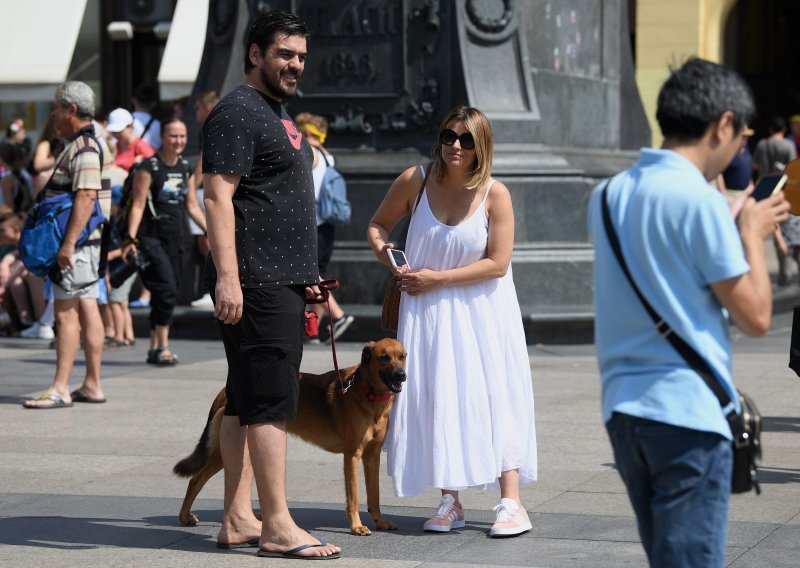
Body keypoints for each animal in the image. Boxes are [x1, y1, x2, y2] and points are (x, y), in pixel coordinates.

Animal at [170, 340, 406, 536]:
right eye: (384, 357)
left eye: (402, 356)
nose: (402, 375)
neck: (369, 394)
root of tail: (227, 390)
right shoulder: (352, 456)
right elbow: (354, 497)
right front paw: (356, 526)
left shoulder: (372, 456)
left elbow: (374, 495)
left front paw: (380, 522)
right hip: (224, 451)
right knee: (195, 480)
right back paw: (185, 516)